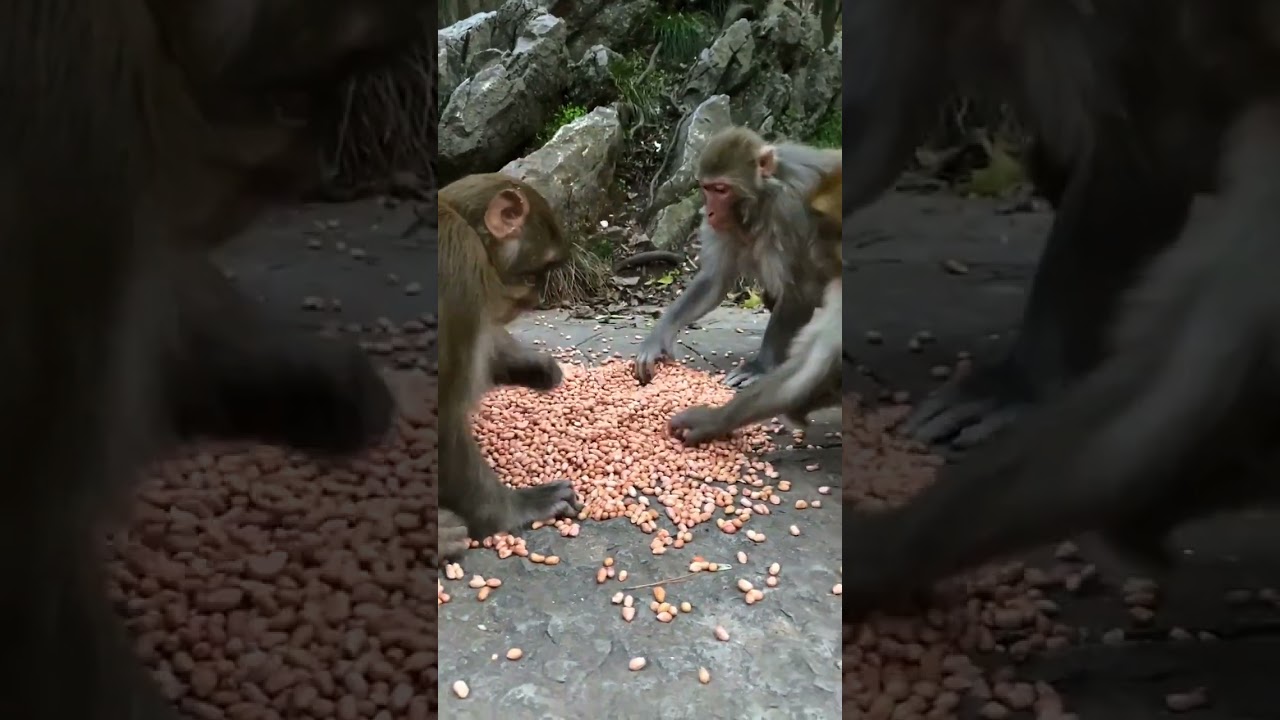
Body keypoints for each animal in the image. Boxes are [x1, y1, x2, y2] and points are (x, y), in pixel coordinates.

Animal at [437, 175, 582, 561]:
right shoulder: (463, 267)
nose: (537, 299)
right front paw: (516, 508)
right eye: (534, 275)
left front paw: (533, 365)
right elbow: (444, 415)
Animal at [632, 127, 840, 390]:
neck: (763, 199)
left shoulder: (790, 211)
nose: (709, 212)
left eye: (722, 190)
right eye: (707, 188)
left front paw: (759, 367)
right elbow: (714, 280)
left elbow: (799, 289)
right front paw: (657, 340)